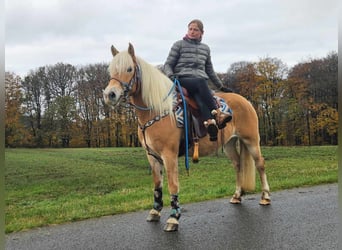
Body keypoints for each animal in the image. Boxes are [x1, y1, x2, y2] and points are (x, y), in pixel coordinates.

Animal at [103, 43, 272, 232]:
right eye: (111, 69)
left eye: (129, 69)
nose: (110, 94)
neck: (158, 110)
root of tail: (245, 100)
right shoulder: (152, 156)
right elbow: (157, 185)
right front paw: (155, 211)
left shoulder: (169, 155)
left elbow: (173, 184)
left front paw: (173, 217)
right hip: (229, 143)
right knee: (238, 165)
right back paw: (237, 195)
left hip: (251, 140)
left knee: (260, 164)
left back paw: (265, 196)